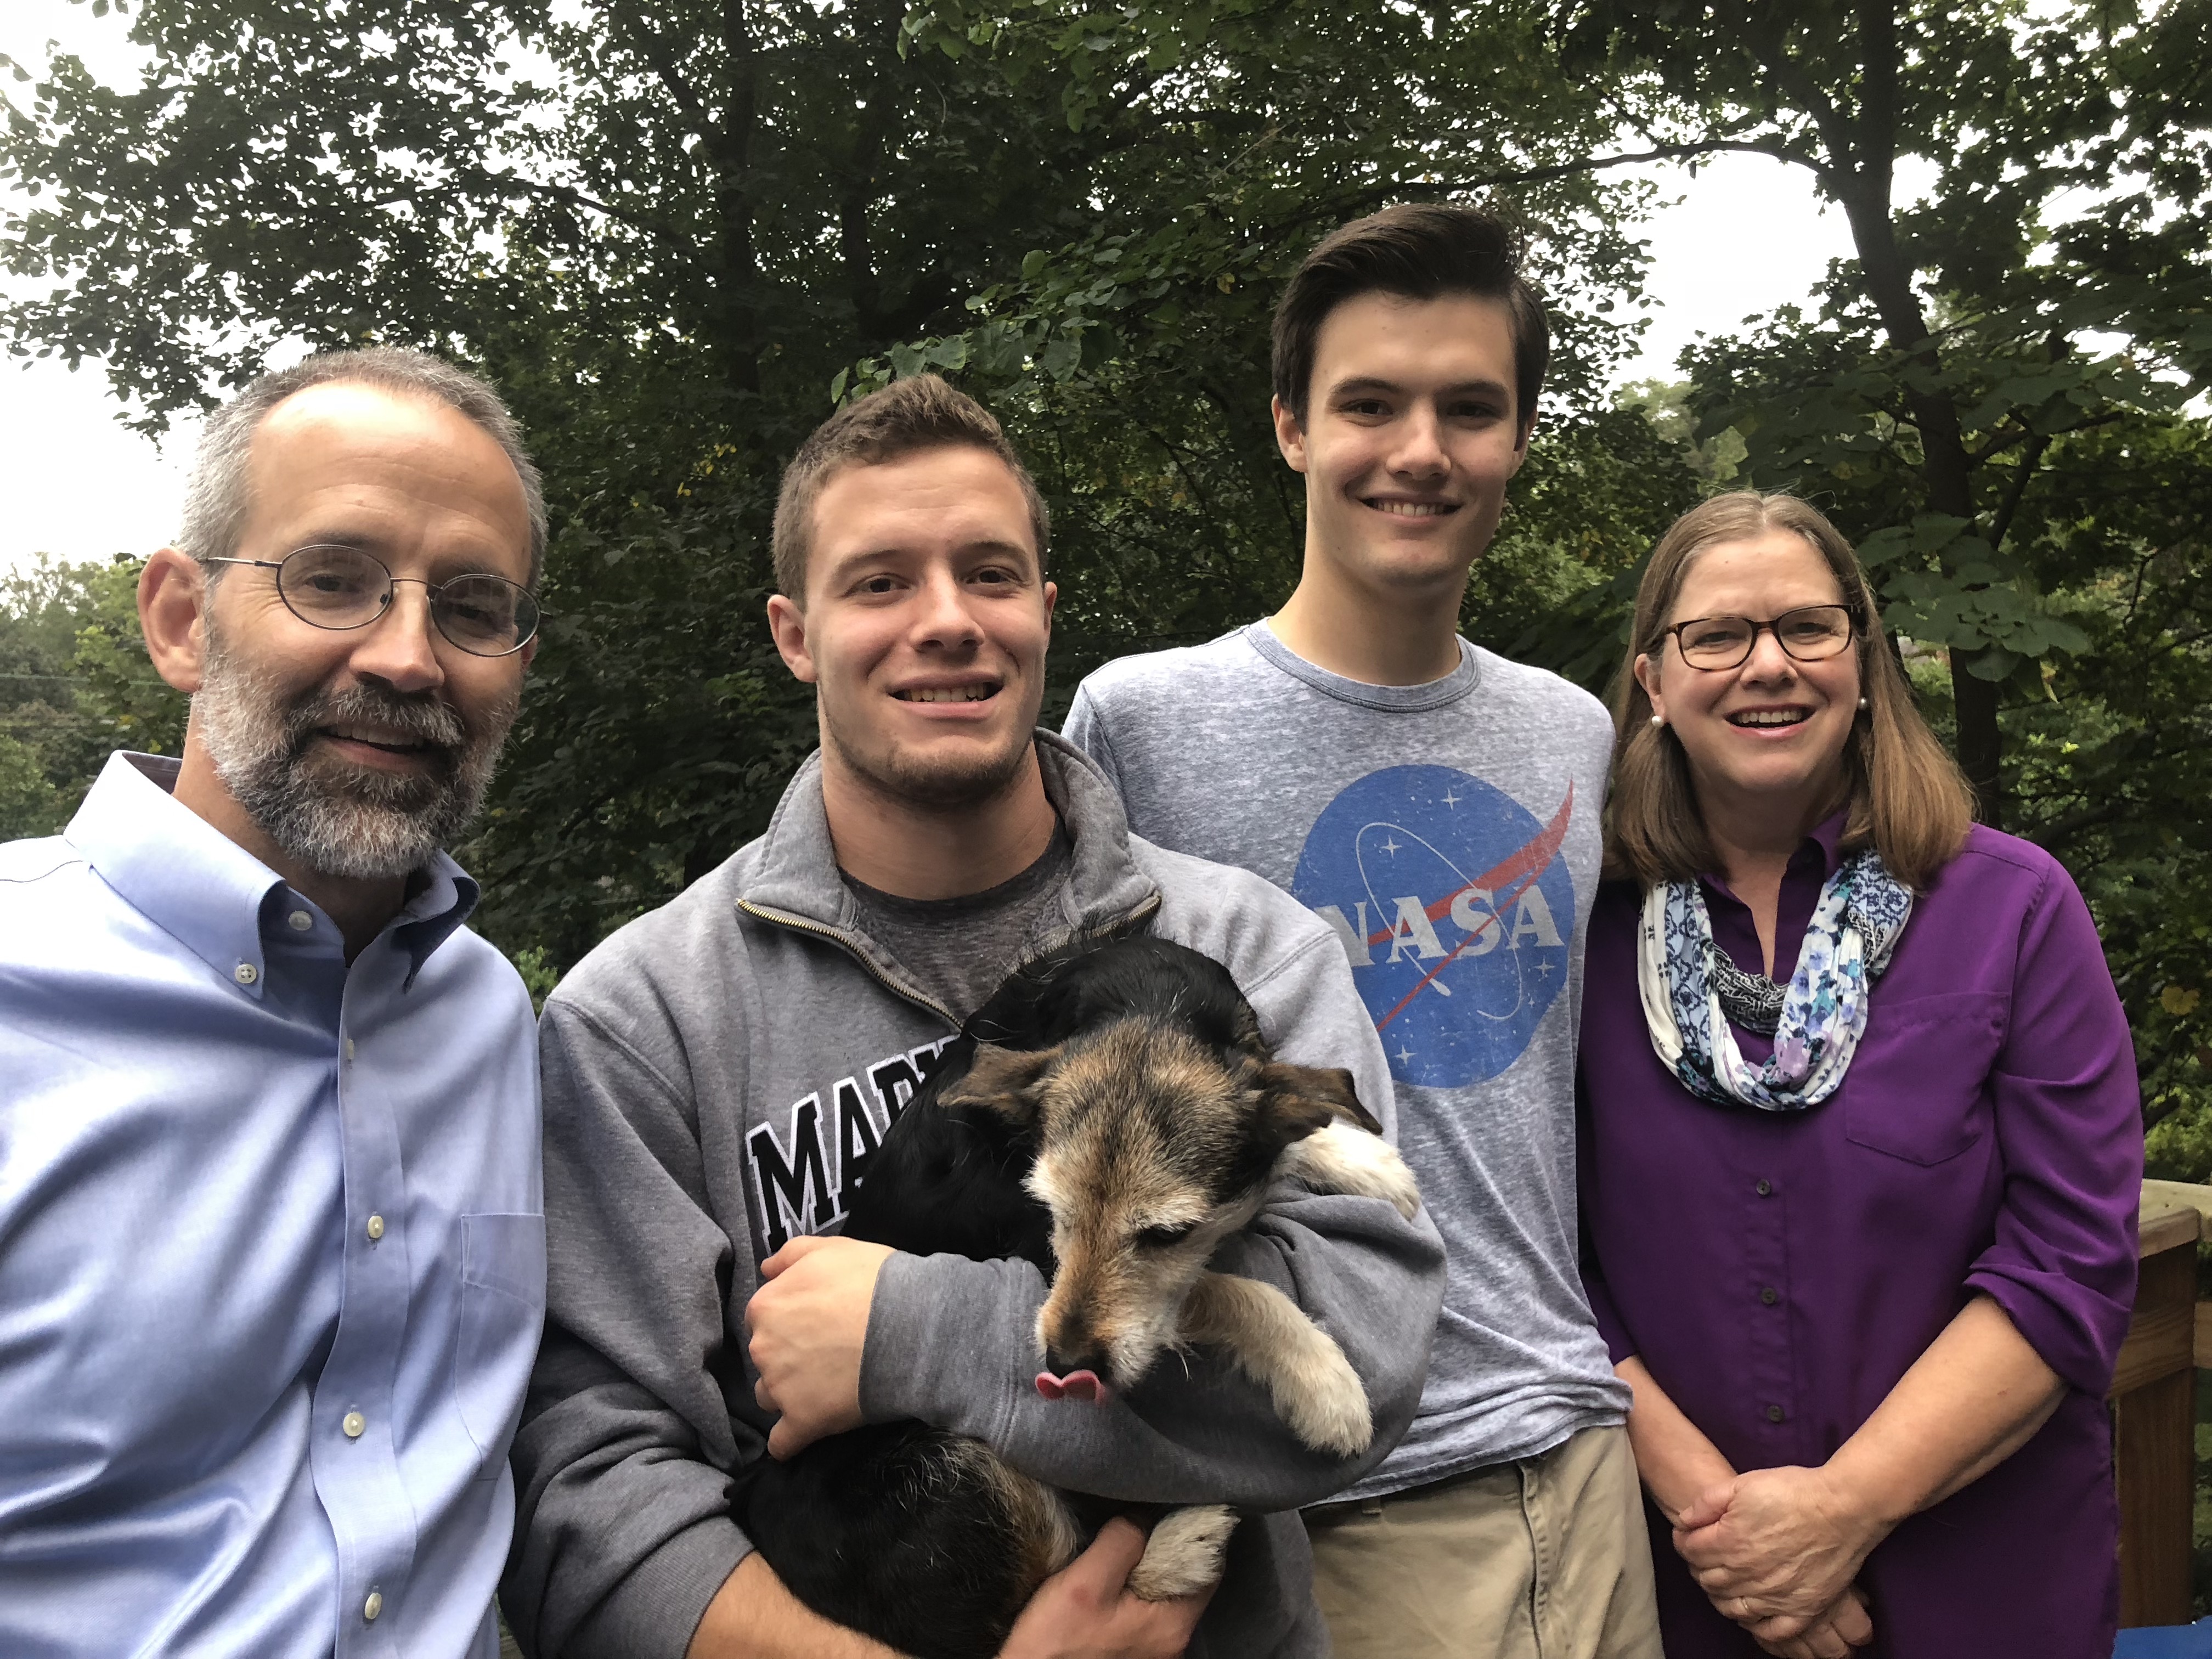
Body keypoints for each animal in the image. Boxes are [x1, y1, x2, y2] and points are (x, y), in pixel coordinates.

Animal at [743, 938, 1415, 1659]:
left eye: (1167, 1234)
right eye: (1050, 1212)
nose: (1065, 1366)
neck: (1152, 1008)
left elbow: (1287, 1114)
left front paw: (1365, 1159)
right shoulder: (1038, 1260)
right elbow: (1222, 1288)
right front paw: (1324, 1384)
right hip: (955, 1482)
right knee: (1029, 1609)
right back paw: (1184, 1545)